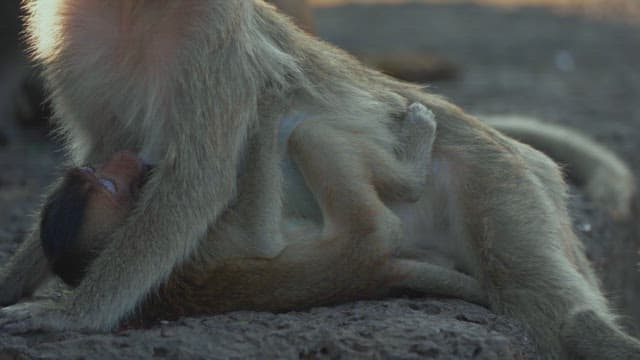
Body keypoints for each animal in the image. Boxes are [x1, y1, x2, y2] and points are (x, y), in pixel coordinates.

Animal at [0, 0, 636, 358]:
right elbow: (106, 145)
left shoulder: (214, 30)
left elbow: (202, 176)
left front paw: (71, 315)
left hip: (492, 177)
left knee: (553, 307)